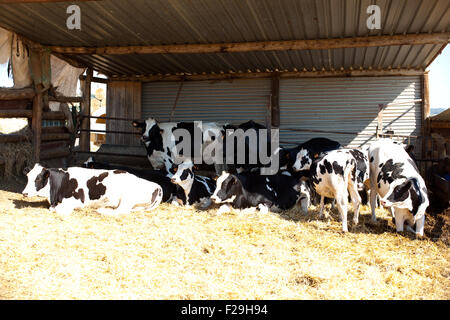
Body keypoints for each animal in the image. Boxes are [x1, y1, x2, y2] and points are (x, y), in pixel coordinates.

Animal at [22, 164, 163, 216]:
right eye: (28, 177)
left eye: (38, 178)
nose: (24, 193)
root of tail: (156, 185)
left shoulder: (77, 200)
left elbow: (58, 210)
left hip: (127, 198)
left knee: (122, 211)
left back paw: (102, 210)